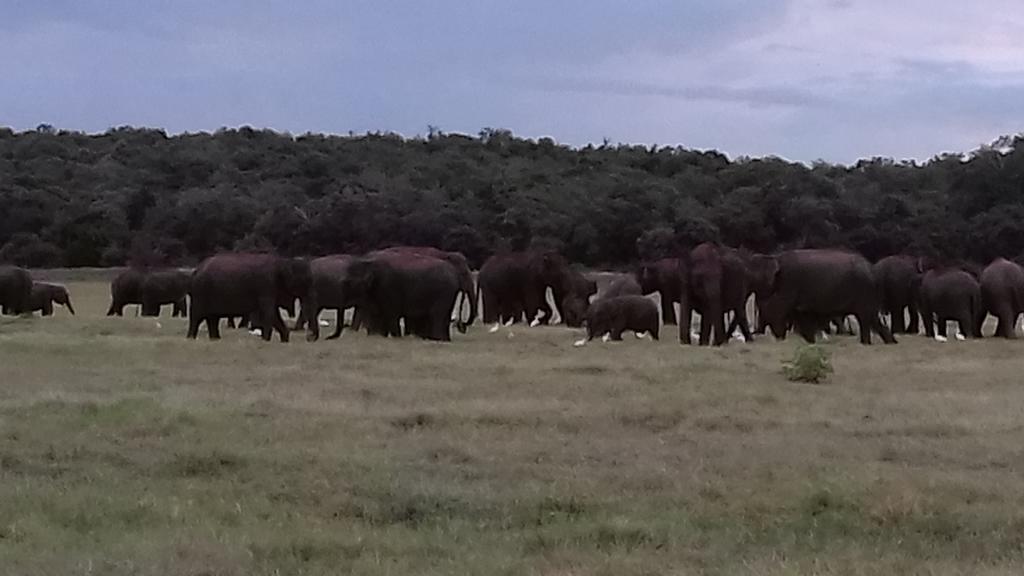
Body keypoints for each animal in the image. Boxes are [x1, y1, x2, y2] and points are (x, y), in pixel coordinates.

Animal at [186, 252, 317, 340]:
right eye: (304, 282)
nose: (309, 337)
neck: (283, 261)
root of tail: (196, 271)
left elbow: (274, 313)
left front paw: (284, 338)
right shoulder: (266, 285)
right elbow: (269, 313)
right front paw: (266, 340)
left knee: (213, 318)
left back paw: (215, 339)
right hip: (200, 292)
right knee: (197, 316)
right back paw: (191, 338)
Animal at [761, 248, 897, 344]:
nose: (779, 338)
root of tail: (872, 269)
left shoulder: (790, 283)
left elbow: (782, 306)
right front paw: (810, 342)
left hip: (864, 290)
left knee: (866, 318)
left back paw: (871, 343)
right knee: (871, 319)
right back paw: (886, 342)